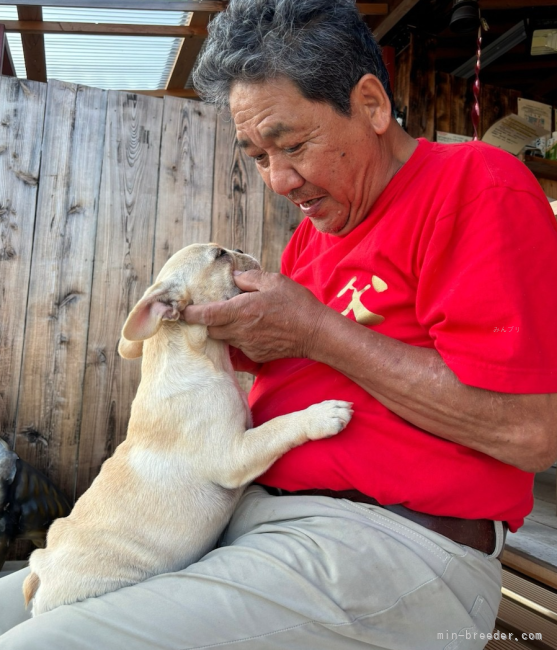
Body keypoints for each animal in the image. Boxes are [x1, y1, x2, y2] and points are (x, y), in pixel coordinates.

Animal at [23, 242, 352, 612]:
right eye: (220, 254)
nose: (240, 248)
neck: (200, 356)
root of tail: (39, 576)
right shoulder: (232, 455)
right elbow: (276, 427)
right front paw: (321, 414)